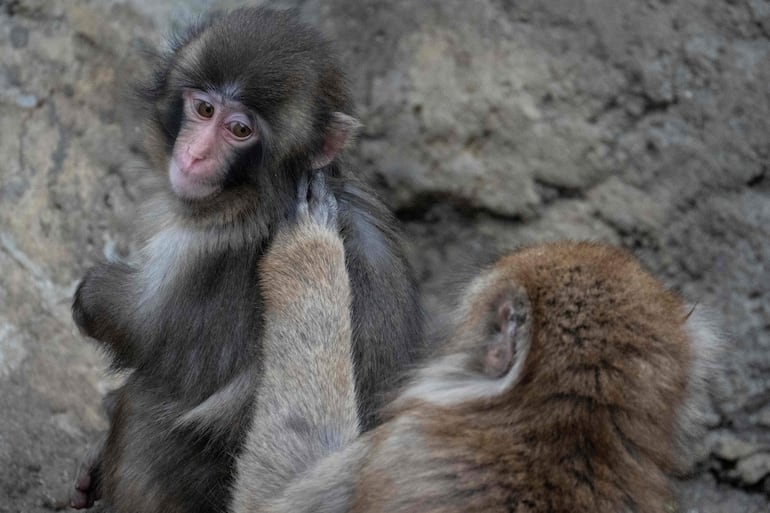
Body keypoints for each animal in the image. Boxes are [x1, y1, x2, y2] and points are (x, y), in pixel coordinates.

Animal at [69, 7, 423, 512]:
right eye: (204, 109)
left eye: (240, 130)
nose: (195, 154)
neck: (262, 192)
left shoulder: (211, 248)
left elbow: (140, 329)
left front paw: (92, 295)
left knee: (143, 406)